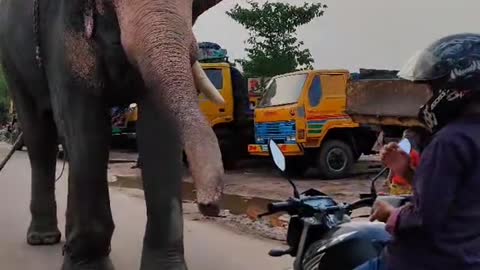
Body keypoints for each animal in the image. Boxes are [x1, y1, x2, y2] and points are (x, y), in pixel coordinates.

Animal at [0, 0, 225, 268]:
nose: (209, 204)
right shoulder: (59, 26)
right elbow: (85, 124)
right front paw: (88, 264)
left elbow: (159, 130)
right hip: (12, 63)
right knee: (39, 137)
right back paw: (43, 239)